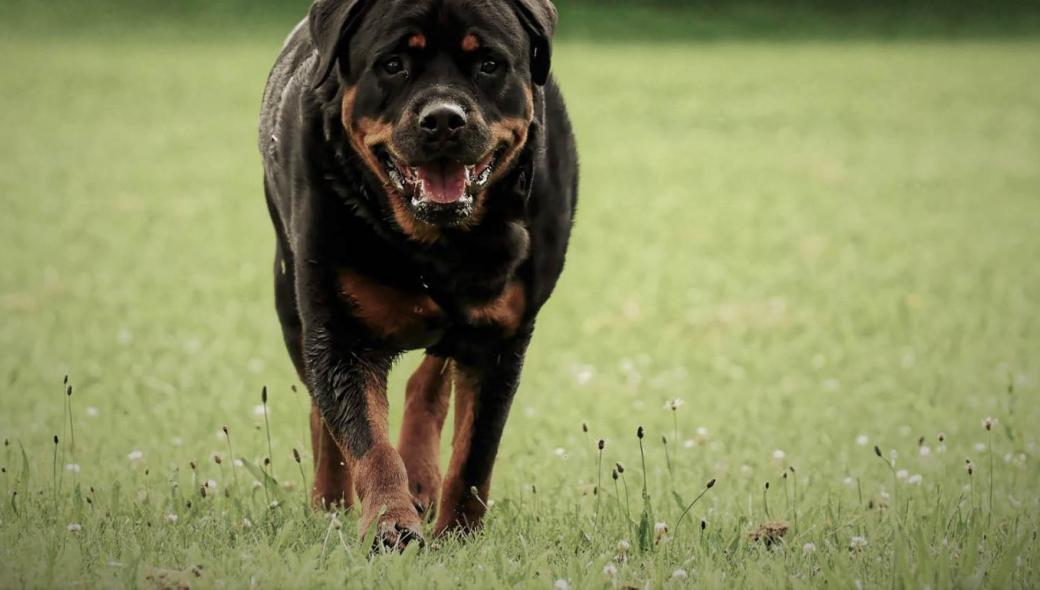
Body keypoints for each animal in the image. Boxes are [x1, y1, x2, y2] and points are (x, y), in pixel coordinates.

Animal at [257, 0, 578, 549]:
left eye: (489, 64)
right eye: (393, 65)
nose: (443, 118)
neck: (437, 244)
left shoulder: (501, 337)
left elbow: (475, 454)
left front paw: (459, 535)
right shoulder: (338, 330)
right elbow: (366, 441)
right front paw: (391, 525)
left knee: (429, 381)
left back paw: (422, 478)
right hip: (289, 297)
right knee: (324, 414)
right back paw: (331, 499)